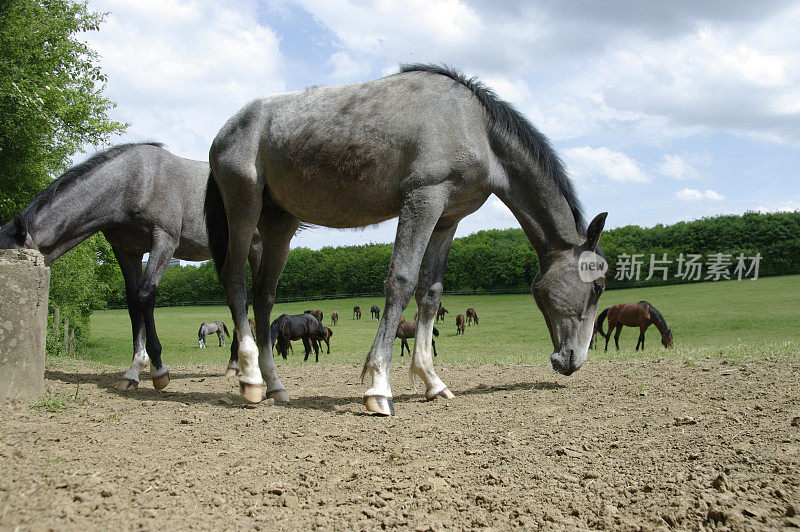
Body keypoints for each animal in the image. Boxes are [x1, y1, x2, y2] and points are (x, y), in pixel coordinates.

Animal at [0, 141, 262, 390]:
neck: (134, 182)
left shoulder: (164, 240)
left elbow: (146, 295)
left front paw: (158, 369)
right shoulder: (127, 251)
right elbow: (133, 303)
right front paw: (134, 369)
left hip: (254, 246)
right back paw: (234, 364)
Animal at [205, 63, 608, 416]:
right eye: (599, 286)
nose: (573, 360)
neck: (475, 126)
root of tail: (226, 130)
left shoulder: (447, 218)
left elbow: (429, 294)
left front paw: (432, 381)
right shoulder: (423, 199)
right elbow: (401, 281)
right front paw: (379, 388)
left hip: (280, 223)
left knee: (264, 297)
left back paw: (276, 386)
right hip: (244, 205)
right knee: (236, 281)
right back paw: (251, 380)